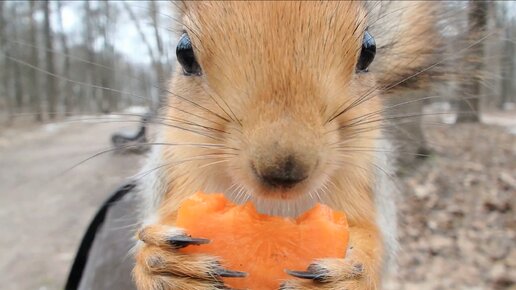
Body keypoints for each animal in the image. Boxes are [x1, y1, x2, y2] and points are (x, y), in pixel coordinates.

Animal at [132, 2, 440, 290]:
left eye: (369, 50)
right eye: (183, 53)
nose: (284, 168)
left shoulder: (369, 181)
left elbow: (378, 241)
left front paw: (355, 268)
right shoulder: (173, 174)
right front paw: (162, 262)